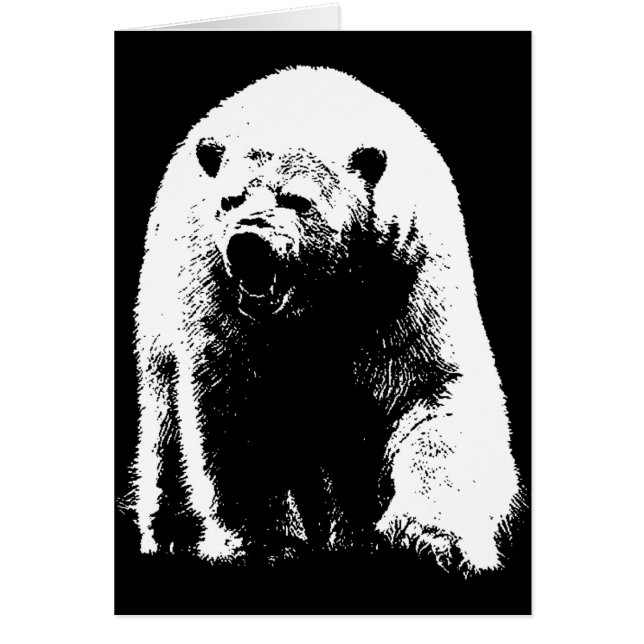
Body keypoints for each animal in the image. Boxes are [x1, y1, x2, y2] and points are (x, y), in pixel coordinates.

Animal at [132, 66, 521, 574]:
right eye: (230, 200)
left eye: (297, 200)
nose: (248, 242)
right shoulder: (220, 299)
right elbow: (234, 406)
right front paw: (266, 545)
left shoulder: (401, 279)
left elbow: (433, 393)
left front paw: (426, 539)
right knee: (164, 423)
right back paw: (171, 534)